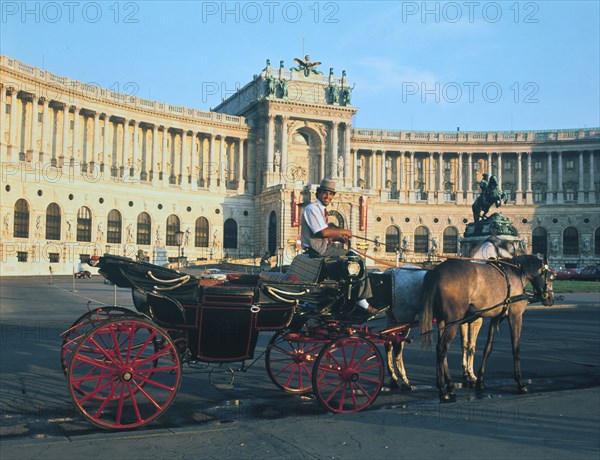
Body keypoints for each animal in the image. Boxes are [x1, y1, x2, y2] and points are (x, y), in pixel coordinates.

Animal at [418, 255, 552, 402]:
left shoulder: (495, 318)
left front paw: (480, 380)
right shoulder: (515, 316)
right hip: (453, 321)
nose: (550, 299)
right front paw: (520, 383)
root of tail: (436, 271)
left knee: (441, 350)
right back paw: (442, 389)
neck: (516, 273)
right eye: (551, 277)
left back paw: (450, 386)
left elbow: (488, 349)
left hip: (442, 321)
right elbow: (516, 349)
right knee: (442, 348)